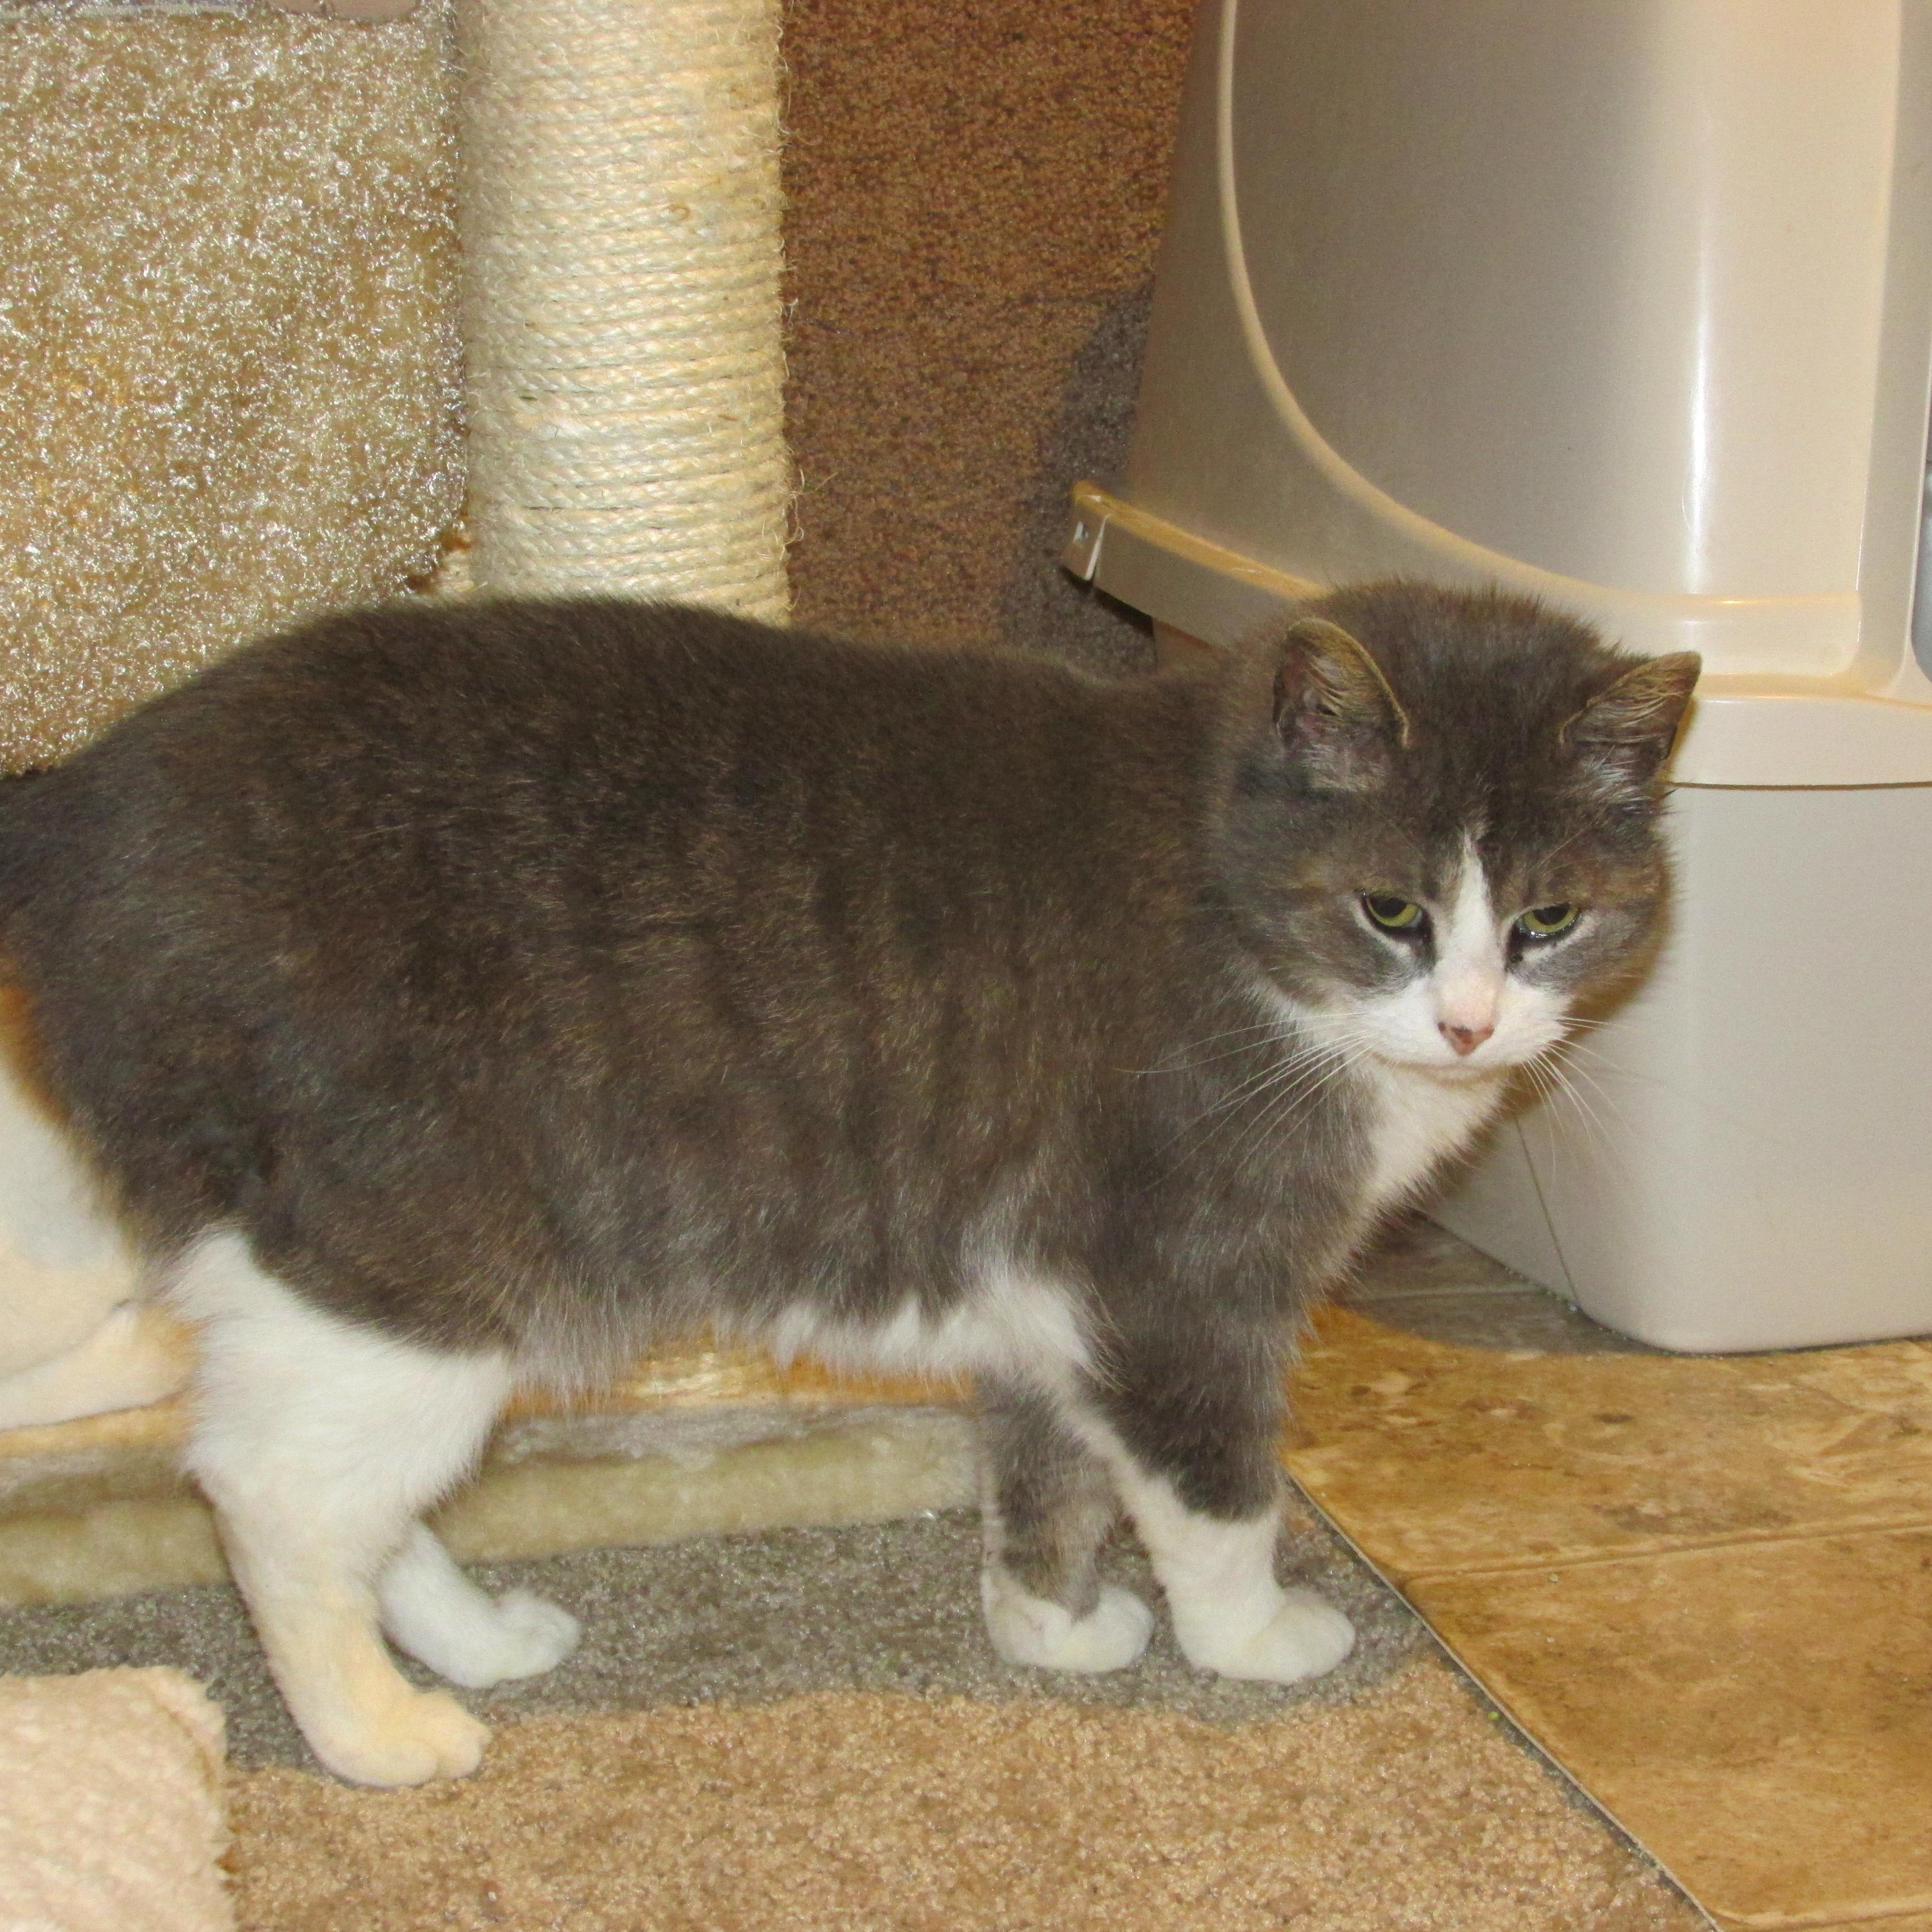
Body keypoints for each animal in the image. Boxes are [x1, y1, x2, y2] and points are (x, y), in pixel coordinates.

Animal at [0, 583, 1692, 1777]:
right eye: (1391, 909)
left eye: (1549, 919)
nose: (1471, 1021)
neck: (1230, 899)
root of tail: (80, 805)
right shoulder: (1178, 1283)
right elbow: (1216, 1490)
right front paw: (1252, 1637)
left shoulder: (1050, 1302)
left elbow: (1048, 1474)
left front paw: (1048, 1629)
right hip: (405, 1254)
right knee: (269, 1496)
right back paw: (383, 1735)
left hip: (349, 1294)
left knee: (339, 1490)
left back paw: (476, 1642)